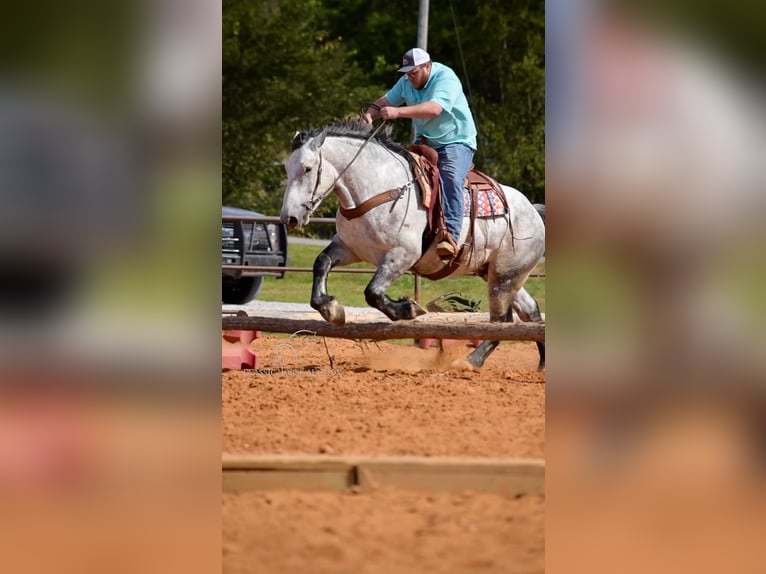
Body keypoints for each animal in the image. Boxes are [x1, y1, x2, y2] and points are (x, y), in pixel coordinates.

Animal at [282, 122, 544, 374]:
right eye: (286, 168)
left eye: (307, 168)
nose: (289, 218)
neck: (379, 188)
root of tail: (533, 210)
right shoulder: (349, 248)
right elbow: (321, 264)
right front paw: (331, 309)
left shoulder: (402, 255)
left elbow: (372, 292)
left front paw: (408, 308)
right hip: (499, 274)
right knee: (530, 312)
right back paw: (539, 364)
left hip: (504, 278)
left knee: (503, 322)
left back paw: (470, 361)